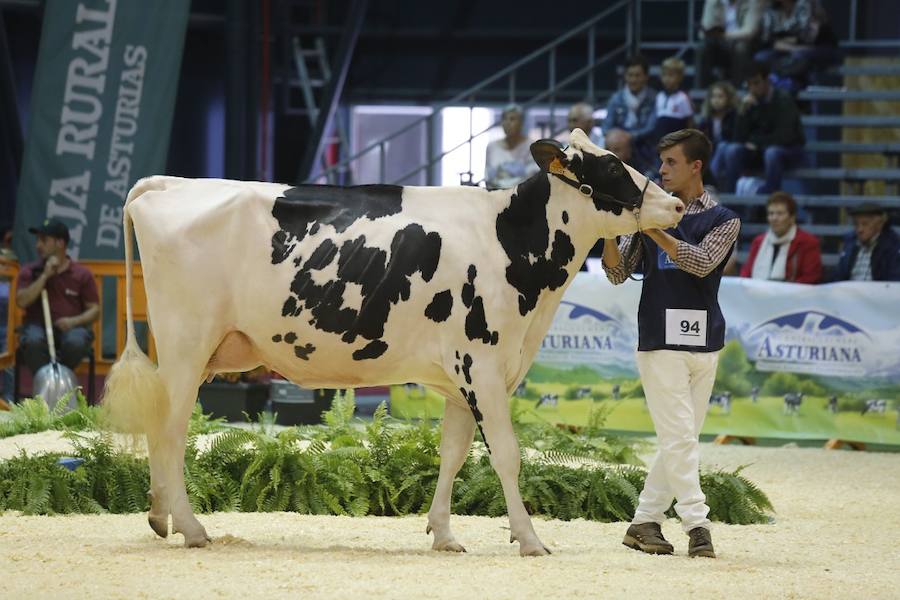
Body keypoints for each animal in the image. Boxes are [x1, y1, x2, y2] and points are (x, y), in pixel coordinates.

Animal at [102, 129, 684, 556]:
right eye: (613, 167)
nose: (678, 205)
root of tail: (167, 183)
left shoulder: (460, 377)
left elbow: (453, 454)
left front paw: (444, 535)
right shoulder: (484, 366)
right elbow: (507, 456)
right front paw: (531, 540)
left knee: (162, 429)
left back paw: (160, 517)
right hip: (186, 342)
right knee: (170, 430)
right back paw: (191, 528)